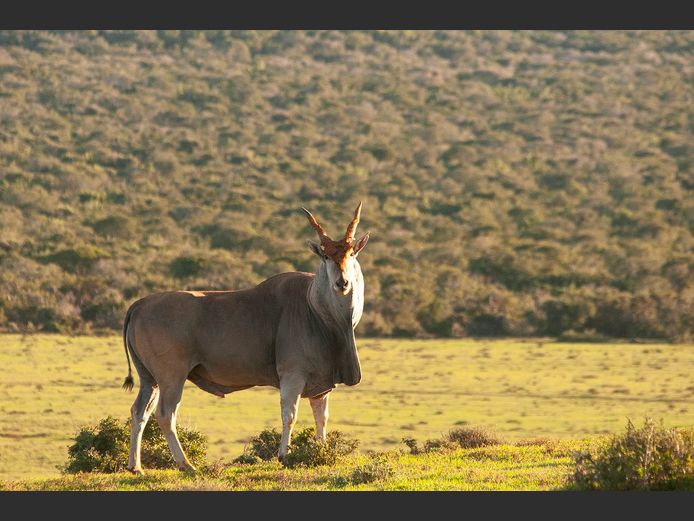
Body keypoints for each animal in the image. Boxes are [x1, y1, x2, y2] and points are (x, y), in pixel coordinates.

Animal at [121, 203, 369, 473]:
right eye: (325, 256)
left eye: (351, 254)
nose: (342, 282)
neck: (316, 309)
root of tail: (139, 305)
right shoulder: (292, 375)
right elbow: (289, 414)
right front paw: (284, 455)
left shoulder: (321, 386)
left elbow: (321, 418)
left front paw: (321, 452)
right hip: (171, 377)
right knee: (165, 414)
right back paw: (186, 464)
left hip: (150, 379)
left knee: (139, 411)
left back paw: (135, 466)